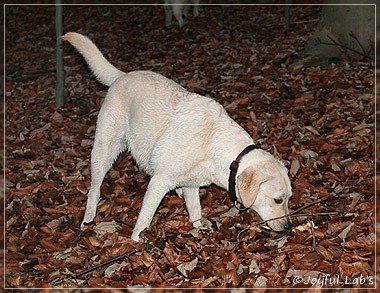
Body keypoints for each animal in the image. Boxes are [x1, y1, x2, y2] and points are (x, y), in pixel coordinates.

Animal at [62, 32, 290, 242]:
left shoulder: (191, 184)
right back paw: (88, 218)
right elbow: (144, 218)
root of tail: (122, 76)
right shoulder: (159, 182)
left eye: (289, 198)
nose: (289, 227)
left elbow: (195, 211)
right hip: (105, 151)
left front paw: (198, 229)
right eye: (278, 200)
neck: (214, 145)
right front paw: (136, 242)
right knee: (94, 189)